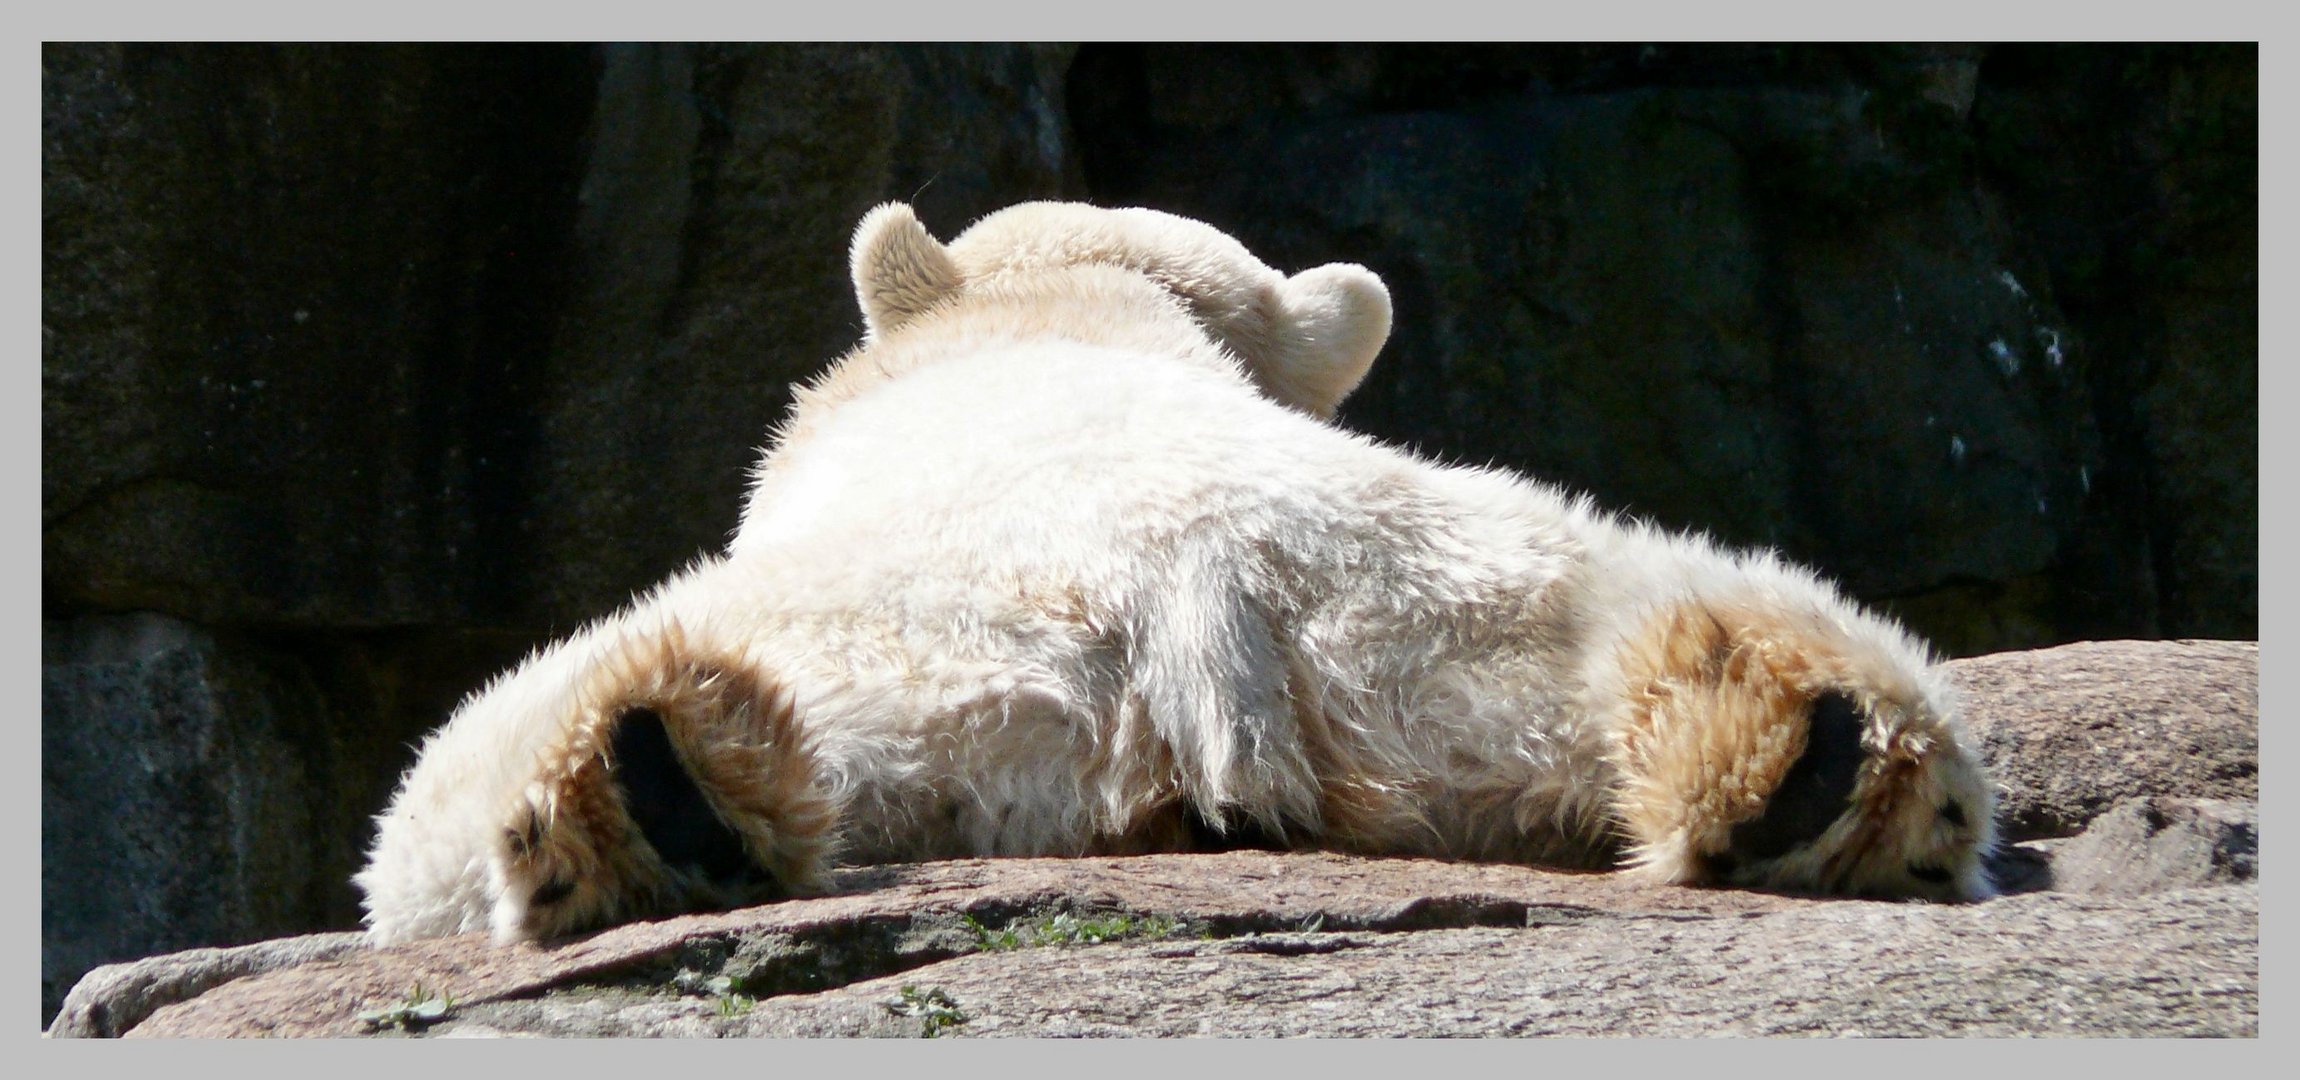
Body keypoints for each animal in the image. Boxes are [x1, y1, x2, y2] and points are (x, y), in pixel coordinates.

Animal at [354, 199, 1996, 946]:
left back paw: (646, 792)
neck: (1076, 310)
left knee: (456, 787)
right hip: (1473, 606)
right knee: (1712, 609)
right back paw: (1809, 755)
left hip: (902, 658)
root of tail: (1197, 588)